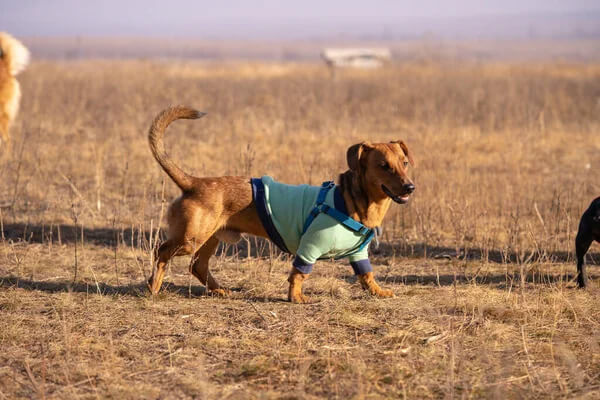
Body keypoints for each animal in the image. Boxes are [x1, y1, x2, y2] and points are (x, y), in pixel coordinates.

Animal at [148, 106, 414, 304]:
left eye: (404, 163)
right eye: (383, 166)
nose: (410, 187)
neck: (350, 201)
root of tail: (193, 182)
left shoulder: (359, 254)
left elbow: (366, 274)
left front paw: (378, 291)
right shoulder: (309, 247)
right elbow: (299, 273)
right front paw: (296, 298)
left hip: (210, 238)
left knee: (198, 266)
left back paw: (219, 290)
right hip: (190, 239)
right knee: (161, 252)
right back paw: (154, 286)